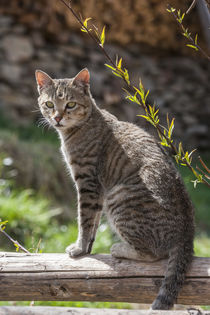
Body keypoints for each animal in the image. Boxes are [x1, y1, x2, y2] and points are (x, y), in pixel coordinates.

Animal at [35, 69, 194, 312]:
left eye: (70, 104)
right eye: (50, 104)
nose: (58, 117)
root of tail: (187, 233)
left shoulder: (88, 182)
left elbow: (84, 220)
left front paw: (79, 249)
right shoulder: (97, 191)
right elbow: (92, 222)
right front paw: (87, 249)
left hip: (119, 199)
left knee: (153, 254)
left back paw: (119, 248)